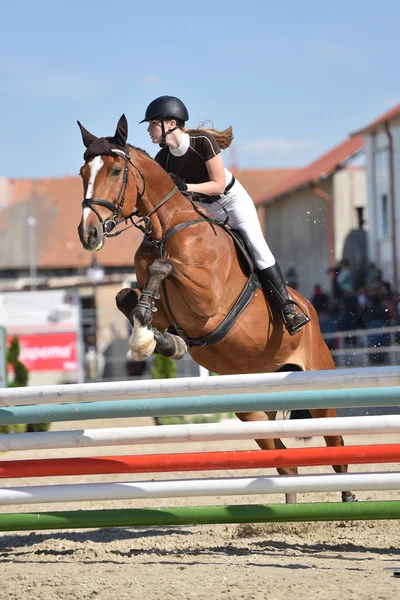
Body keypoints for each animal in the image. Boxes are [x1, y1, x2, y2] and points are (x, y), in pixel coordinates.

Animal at [76, 115, 354, 504]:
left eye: (116, 171)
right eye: (83, 172)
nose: (88, 234)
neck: (167, 228)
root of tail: (311, 312)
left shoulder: (207, 298)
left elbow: (164, 267)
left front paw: (146, 339)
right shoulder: (168, 309)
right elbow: (126, 298)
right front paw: (157, 341)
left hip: (318, 387)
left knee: (337, 445)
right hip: (252, 407)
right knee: (286, 463)